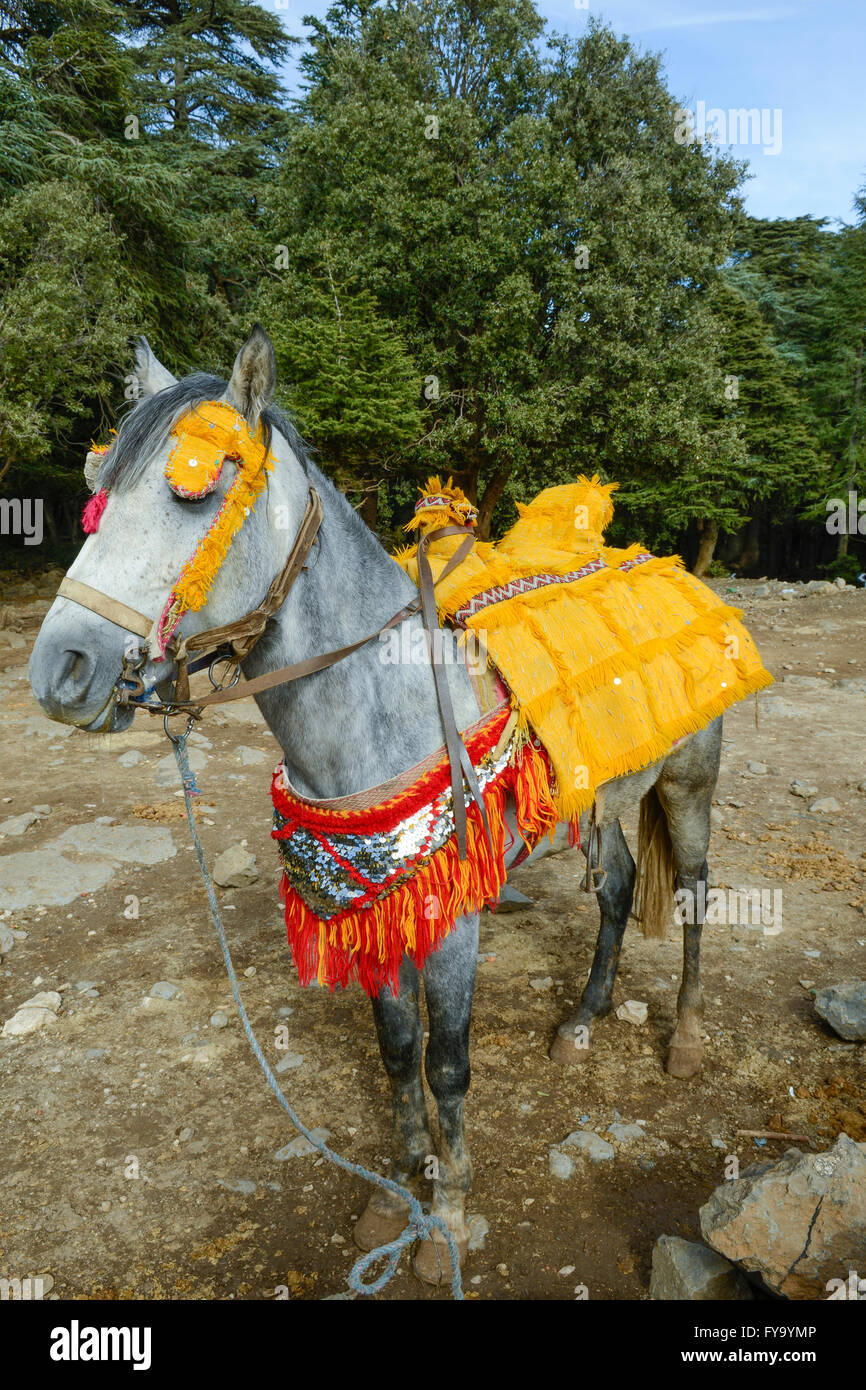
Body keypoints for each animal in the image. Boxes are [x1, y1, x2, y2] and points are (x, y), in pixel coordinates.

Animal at [27, 322, 722, 1278]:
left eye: (194, 490)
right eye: (97, 495)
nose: (60, 670)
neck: (381, 704)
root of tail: (670, 566)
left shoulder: (451, 917)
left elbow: (449, 1065)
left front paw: (450, 1218)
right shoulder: (377, 902)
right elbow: (397, 1053)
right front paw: (399, 1195)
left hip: (690, 783)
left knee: (691, 894)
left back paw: (685, 1040)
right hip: (602, 801)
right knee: (617, 887)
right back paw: (581, 1021)